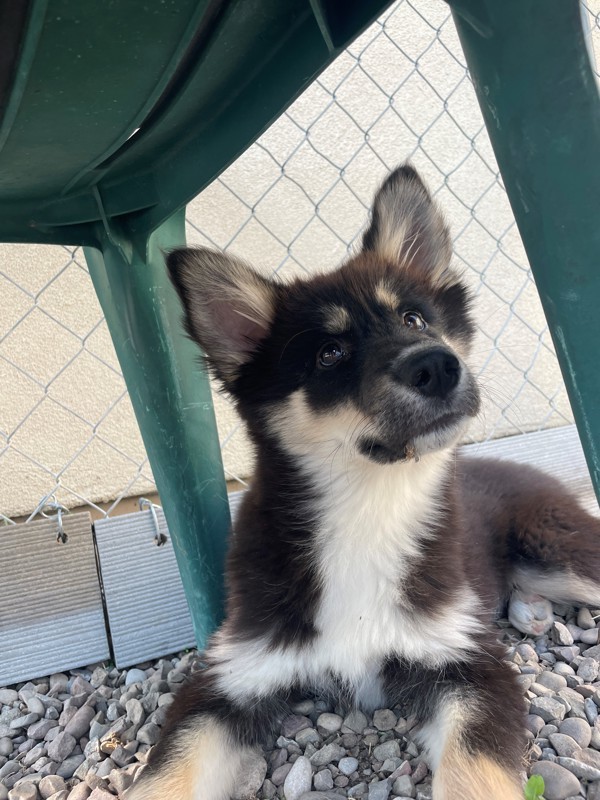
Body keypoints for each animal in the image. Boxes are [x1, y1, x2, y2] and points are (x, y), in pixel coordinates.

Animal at [126, 166, 600, 796]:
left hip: (556, 547)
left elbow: (473, 769)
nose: (438, 366)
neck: (369, 504)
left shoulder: (468, 661)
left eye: (414, 318)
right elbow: (166, 773)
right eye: (329, 353)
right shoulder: (233, 678)